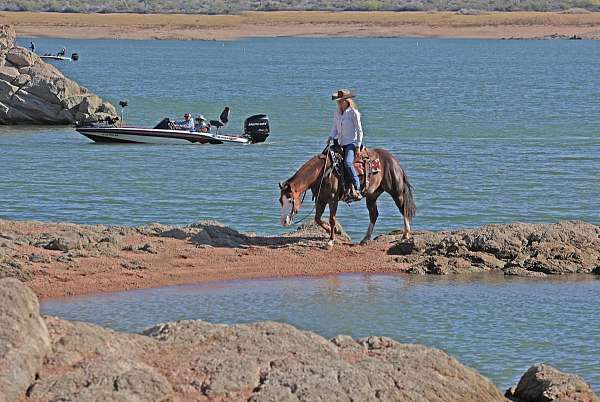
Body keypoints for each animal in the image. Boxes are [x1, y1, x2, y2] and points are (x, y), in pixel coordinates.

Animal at [278, 148, 414, 247]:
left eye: (290, 200)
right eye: (280, 201)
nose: (284, 221)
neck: (322, 172)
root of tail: (393, 160)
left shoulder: (332, 199)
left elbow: (332, 219)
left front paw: (331, 241)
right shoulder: (321, 199)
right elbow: (318, 219)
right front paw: (336, 232)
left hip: (396, 191)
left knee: (403, 208)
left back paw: (406, 234)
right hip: (372, 195)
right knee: (374, 214)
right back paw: (365, 239)